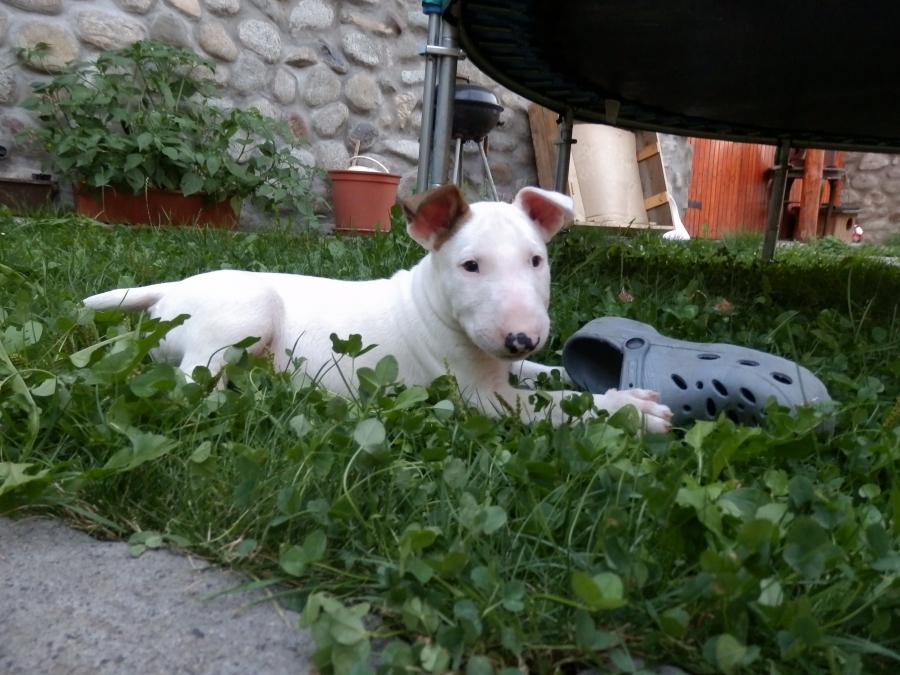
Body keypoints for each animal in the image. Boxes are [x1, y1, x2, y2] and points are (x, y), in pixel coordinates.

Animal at [83, 185, 672, 432]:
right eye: (470, 266)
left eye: (536, 260)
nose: (521, 337)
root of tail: (171, 289)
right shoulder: (482, 398)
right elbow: (553, 405)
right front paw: (631, 408)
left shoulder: (501, 366)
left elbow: (544, 375)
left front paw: (575, 372)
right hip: (244, 313)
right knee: (192, 381)